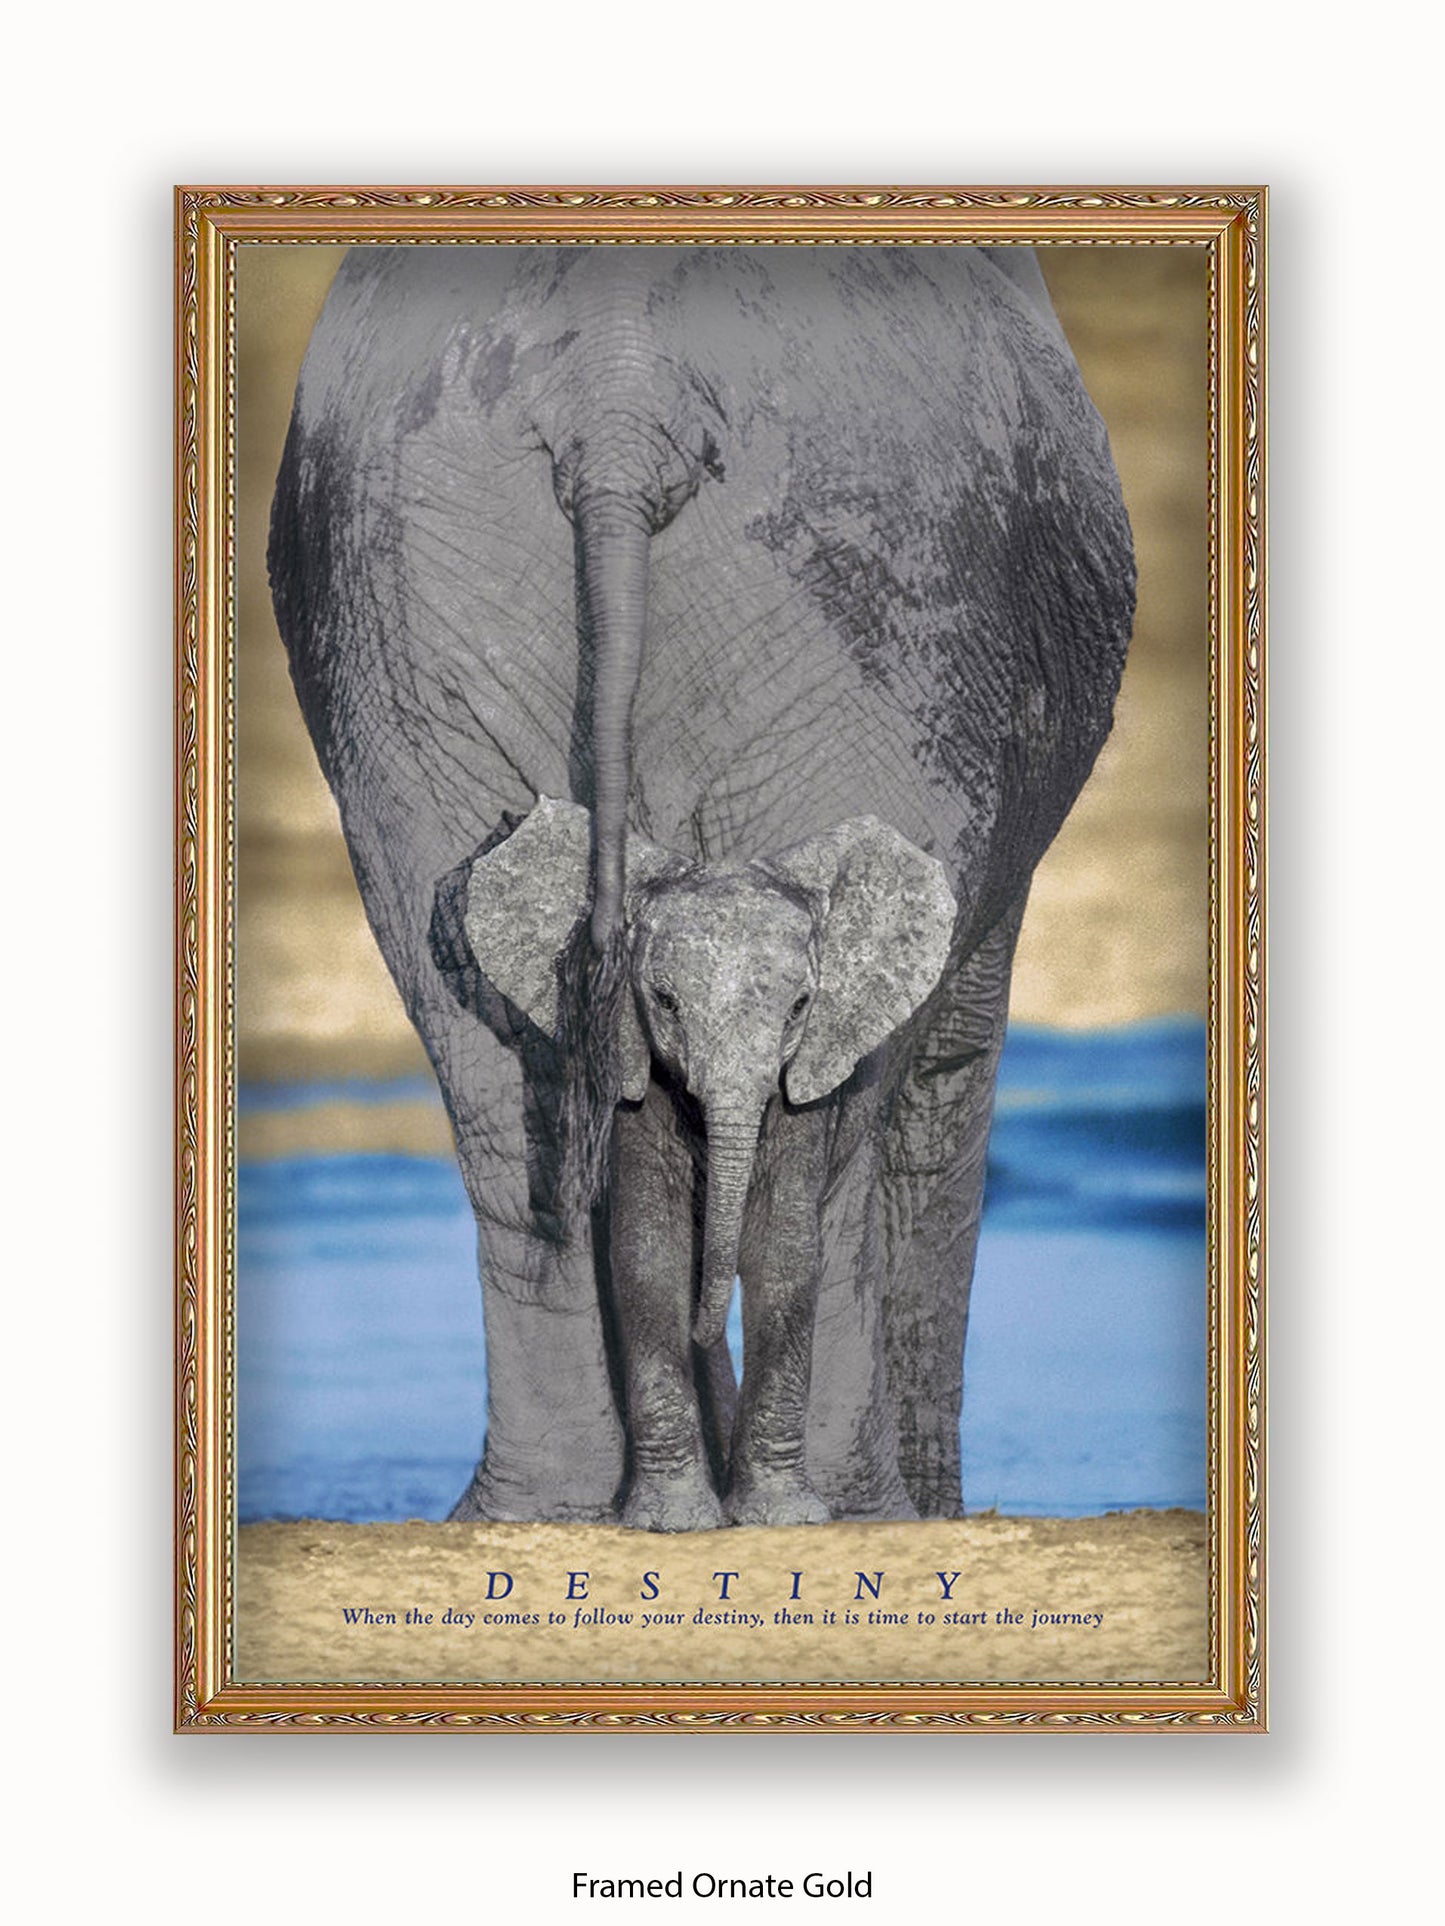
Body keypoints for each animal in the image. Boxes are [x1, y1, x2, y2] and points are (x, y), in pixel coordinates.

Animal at [462, 796, 956, 1529]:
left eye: (800, 1007)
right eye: (664, 1003)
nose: (708, 1329)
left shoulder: (801, 1087)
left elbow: (785, 1254)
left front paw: (782, 1517)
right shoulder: (629, 1071)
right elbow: (647, 1255)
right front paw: (671, 1520)